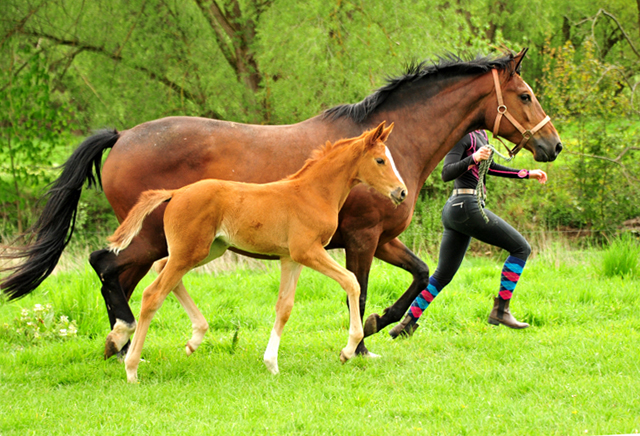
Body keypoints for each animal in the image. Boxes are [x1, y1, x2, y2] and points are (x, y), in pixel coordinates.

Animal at [105, 122, 404, 382]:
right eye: (380, 160)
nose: (401, 192)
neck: (313, 193)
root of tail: (176, 193)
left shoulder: (290, 258)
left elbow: (284, 307)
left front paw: (271, 363)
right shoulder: (307, 251)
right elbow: (352, 282)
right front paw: (347, 351)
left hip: (206, 250)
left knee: (162, 269)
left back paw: (194, 339)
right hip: (190, 252)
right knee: (152, 294)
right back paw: (131, 367)